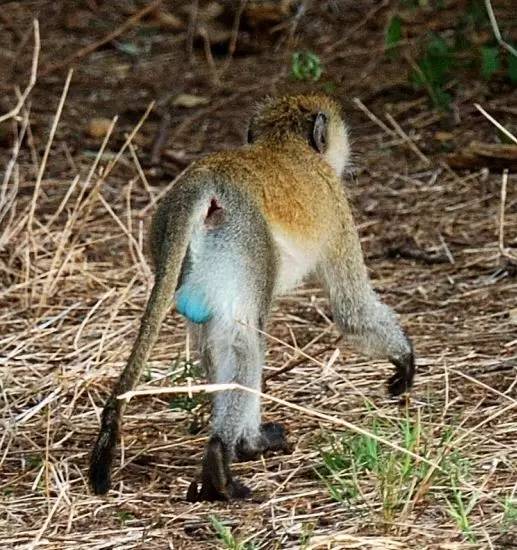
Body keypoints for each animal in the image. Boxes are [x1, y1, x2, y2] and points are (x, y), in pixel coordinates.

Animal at [87, 94, 412, 504]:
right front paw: (404, 359)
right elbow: (351, 310)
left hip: (177, 247)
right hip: (246, 240)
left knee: (214, 340)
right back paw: (227, 456)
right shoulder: (336, 208)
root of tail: (204, 181)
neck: (283, 145)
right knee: (246, 339)